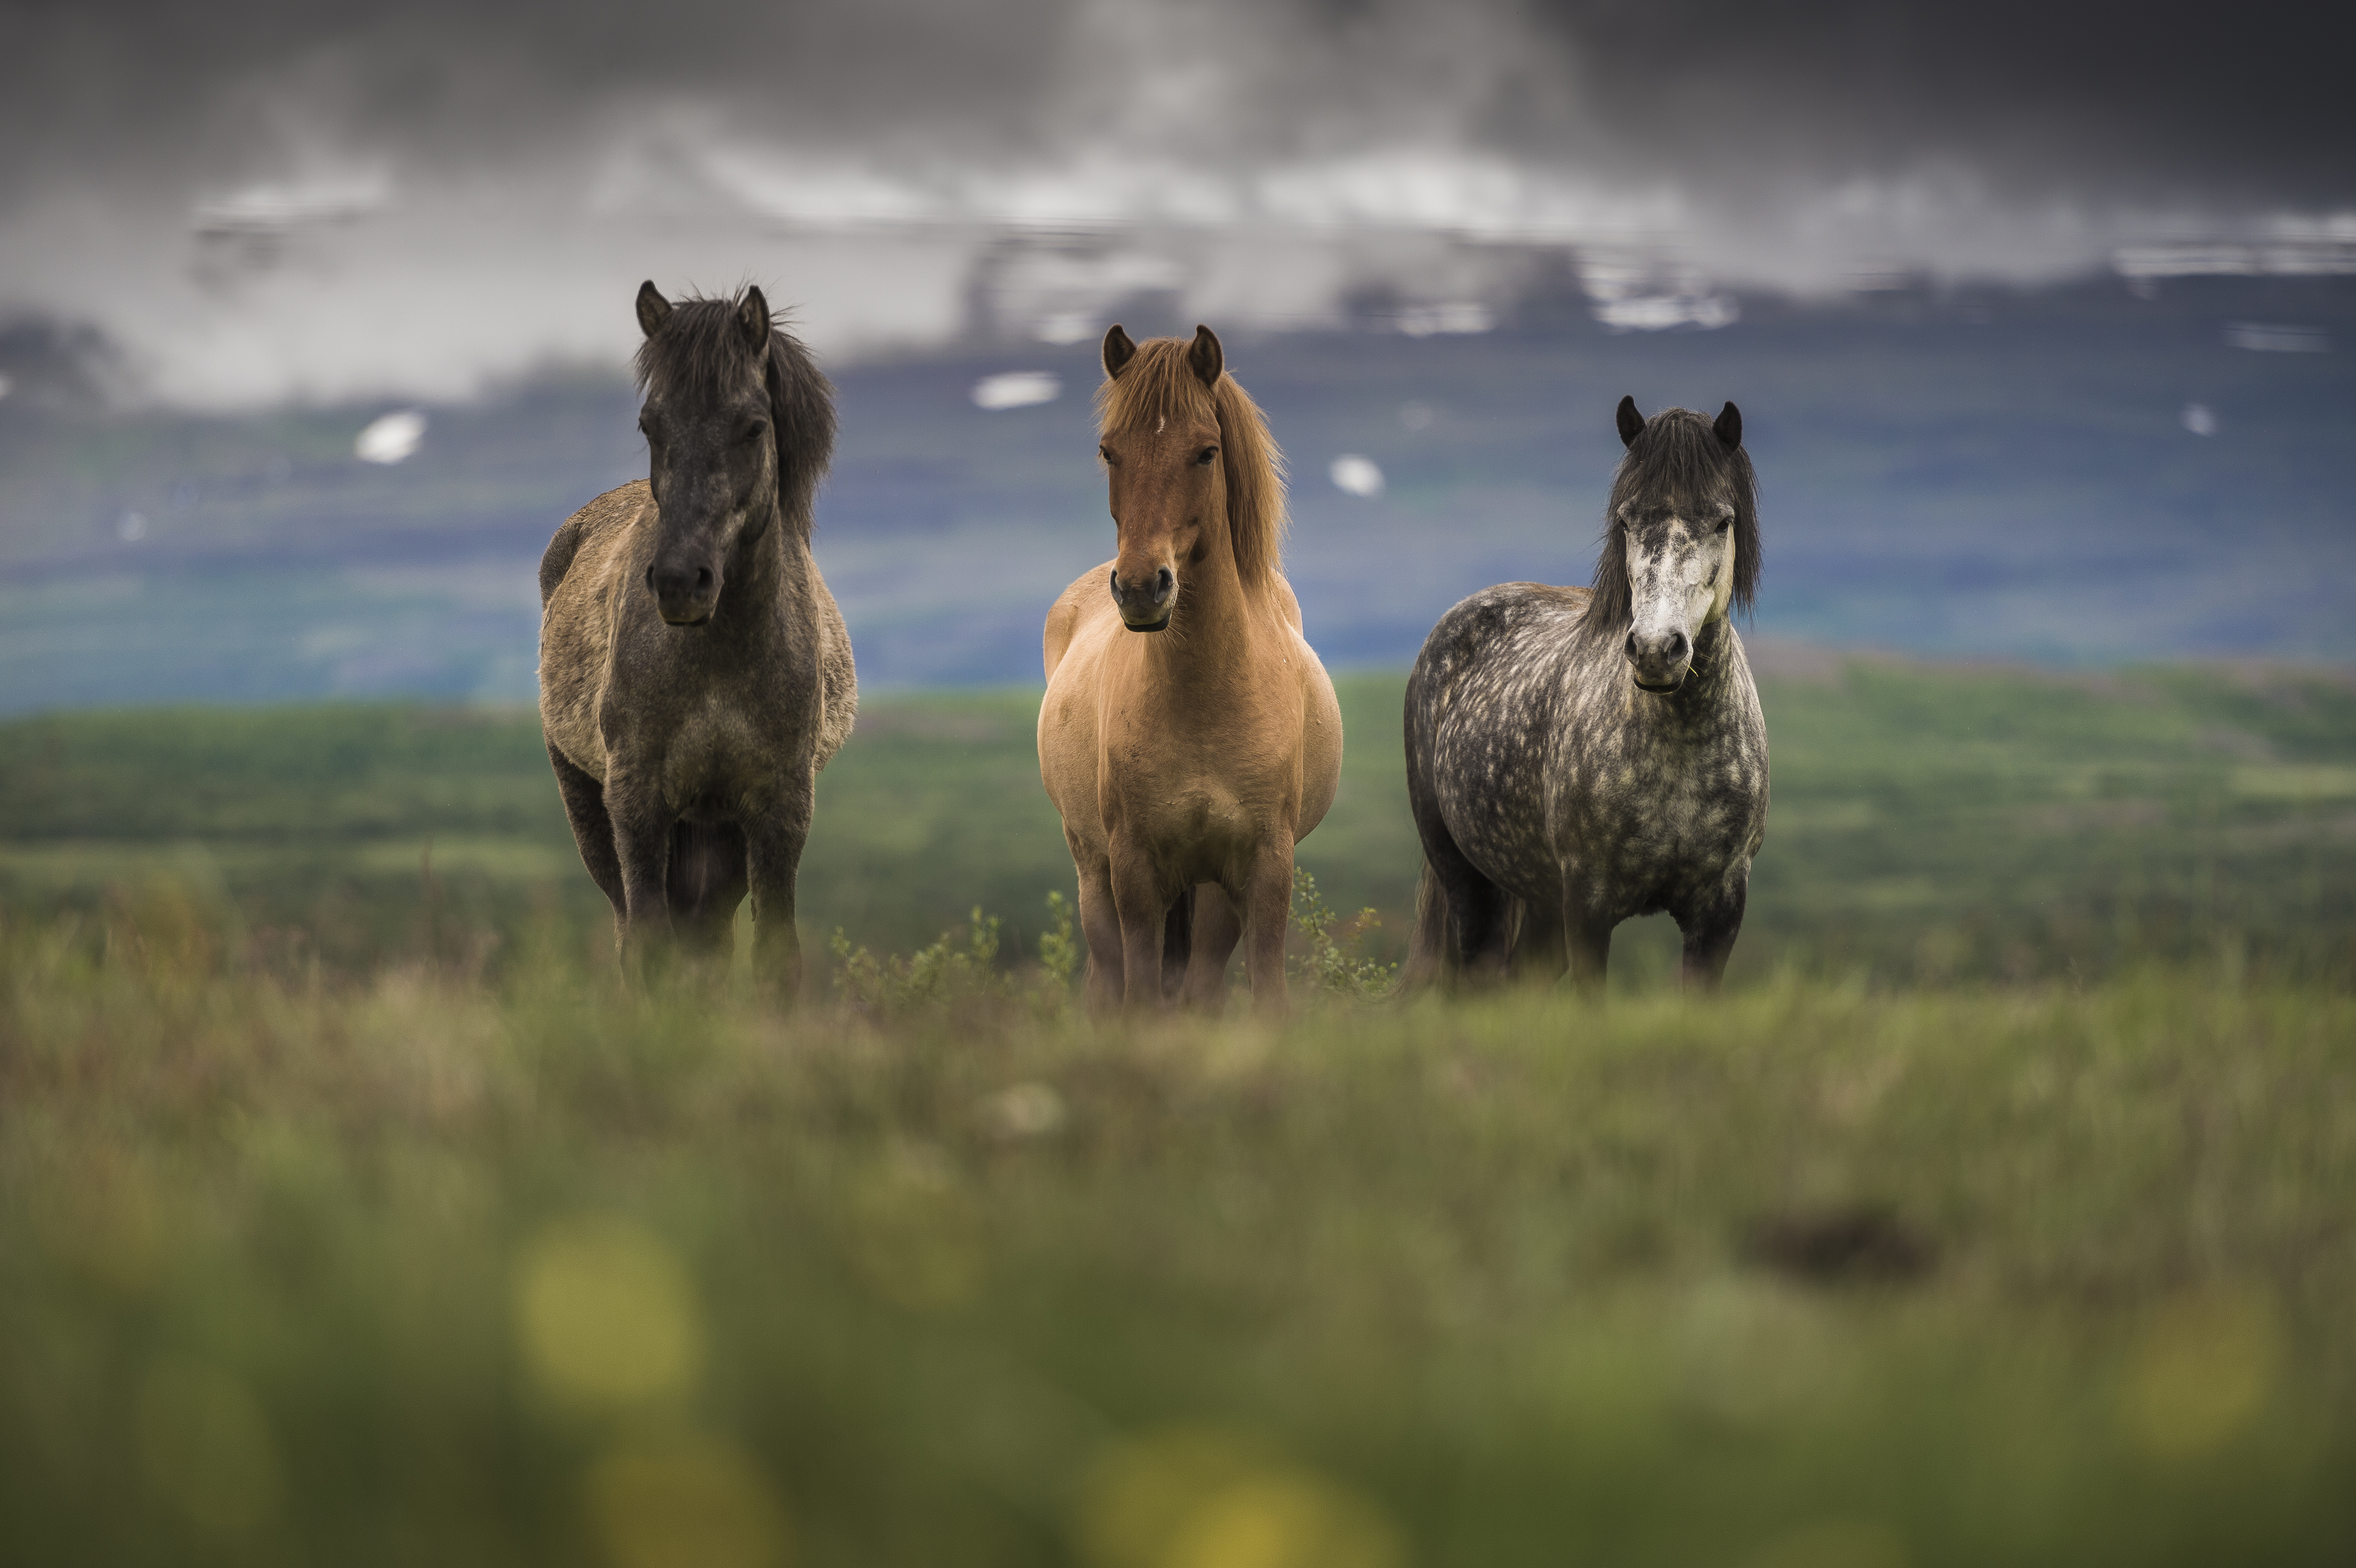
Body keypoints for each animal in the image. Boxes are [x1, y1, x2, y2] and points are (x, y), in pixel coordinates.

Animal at [537, 283, 857, 979]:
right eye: (650, 424)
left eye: (754, 426)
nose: (682, 581)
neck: (721, 659)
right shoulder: (637, 804)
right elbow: (649, 950)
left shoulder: (778, 809)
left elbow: (774, 956)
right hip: (591, 806)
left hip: (718, 837)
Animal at [1036, 327, 1347, 1012]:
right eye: (1109, 451)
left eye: (1206, 453)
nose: (1139, 588)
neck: (1205, 695)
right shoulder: (1134, 869)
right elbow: (1140, 997)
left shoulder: (1263, 867)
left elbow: (1263, 994)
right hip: (1093, 872)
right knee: (1107, 981)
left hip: (1211, 893)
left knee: (1200, 986)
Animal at [1395, 398, 1771, 984]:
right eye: (1626, 519)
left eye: (1722, 521)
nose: (1656, 649)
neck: (1679, 748)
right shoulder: (1588, 905)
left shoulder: (1721, 909)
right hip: (1467, 878)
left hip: (1538, 899)